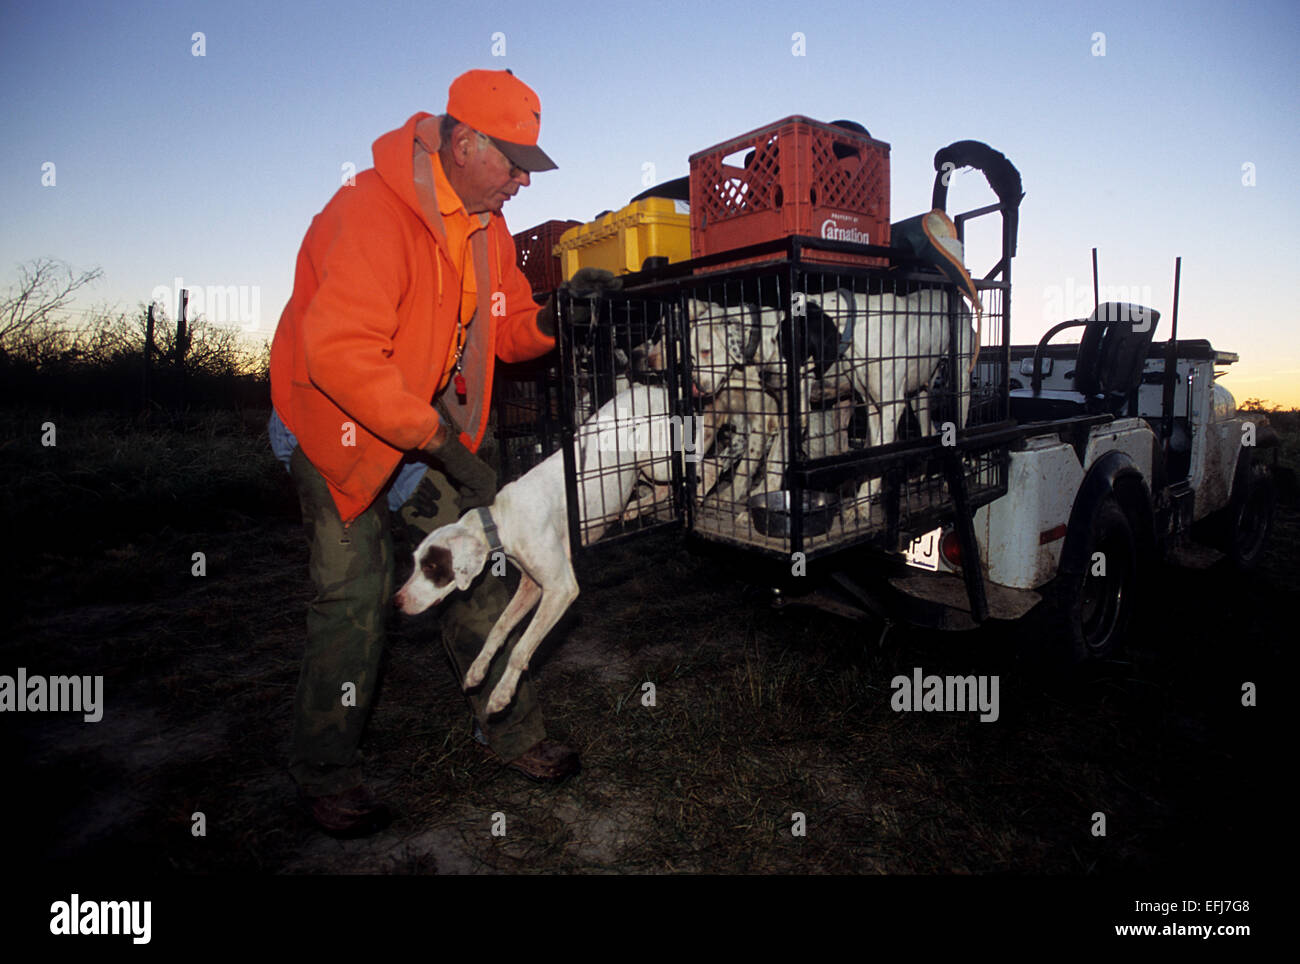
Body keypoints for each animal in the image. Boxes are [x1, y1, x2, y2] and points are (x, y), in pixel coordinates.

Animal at [392, 384, 676, 717]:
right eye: (415, 563)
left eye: (432, 568)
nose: (397, 601)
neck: (501, 518)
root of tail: (653, 387)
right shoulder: (532, 586)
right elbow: (499, 628)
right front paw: (477, 670)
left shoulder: (560, 588)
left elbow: (521, 647)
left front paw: (502, 694)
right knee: (660, 489)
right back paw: (634, 509)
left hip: (657, 460)